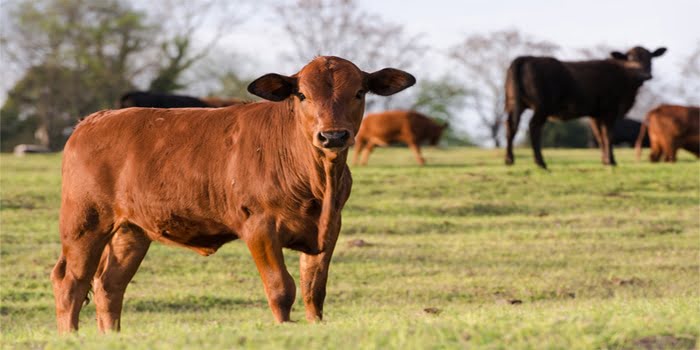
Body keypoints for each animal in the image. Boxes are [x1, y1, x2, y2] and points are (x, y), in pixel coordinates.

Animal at [54, 56, 416, 332]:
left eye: (359, 92)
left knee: (109, 286)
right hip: (85, 222)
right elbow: (281, 288)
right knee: (71, 282)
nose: (332, 136)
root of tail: (93, 120)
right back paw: (71, 336)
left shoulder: (329, 229)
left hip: (131, 231)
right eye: (302, 95)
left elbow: (314, 290)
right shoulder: (259, 227)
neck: (318, 184)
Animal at [506, 45, 664, 169]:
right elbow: (608, 135)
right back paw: (540, 163)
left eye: (650, 58)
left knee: (510, 126)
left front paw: (605, 160)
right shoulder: (609, 110)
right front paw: (611, 161)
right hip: (542, 106)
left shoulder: (595, 114)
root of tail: (526, 58)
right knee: (533, 127)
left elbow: (600, 136)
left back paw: (509, 159)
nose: (645, 75)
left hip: (513, 104)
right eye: (630, 58)